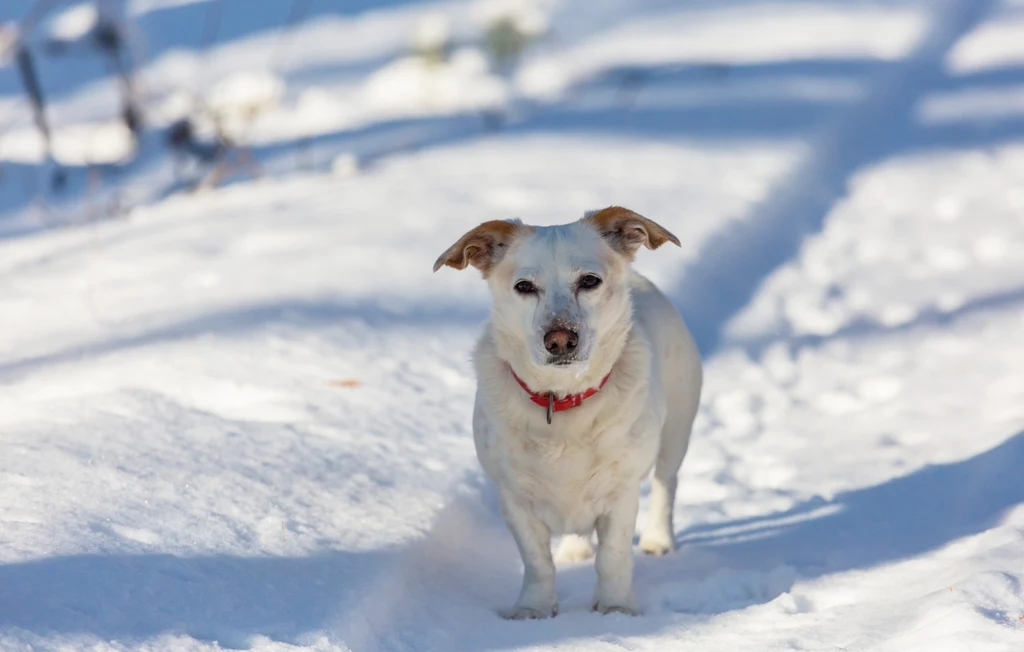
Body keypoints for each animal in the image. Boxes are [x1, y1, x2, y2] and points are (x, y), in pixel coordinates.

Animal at [432, 205, 704, 618]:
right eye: (524, 287)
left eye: (590, 281)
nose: (560, 340)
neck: (559, 399)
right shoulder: (514, 497)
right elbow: (537, 561)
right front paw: (533, 610)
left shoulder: (620, 493)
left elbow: (613, 556)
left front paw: (616, 607)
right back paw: (575, 551)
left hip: (676, 430)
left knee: (665, 485)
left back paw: (658, 540)